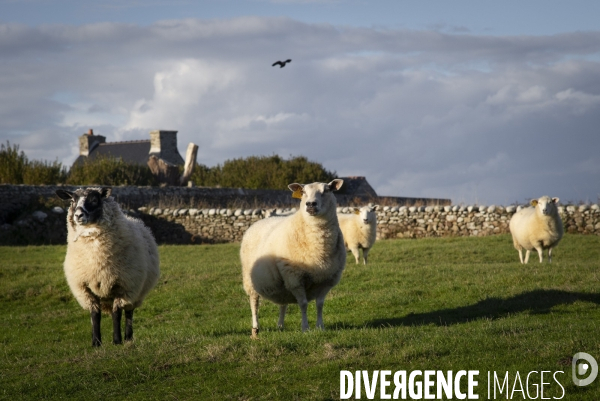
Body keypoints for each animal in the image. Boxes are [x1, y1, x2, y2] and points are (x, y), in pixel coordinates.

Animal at [55, 186, 159, 346]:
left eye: (94, 200)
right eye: (72, 201)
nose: (78, 215)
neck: (96, 259)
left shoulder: (123, 287)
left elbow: (117, 314)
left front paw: (117, 341)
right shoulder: (85, 289)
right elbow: (95, 315)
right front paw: (96, 343)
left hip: (134, 291)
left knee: (128, 313)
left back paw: (128, 338)